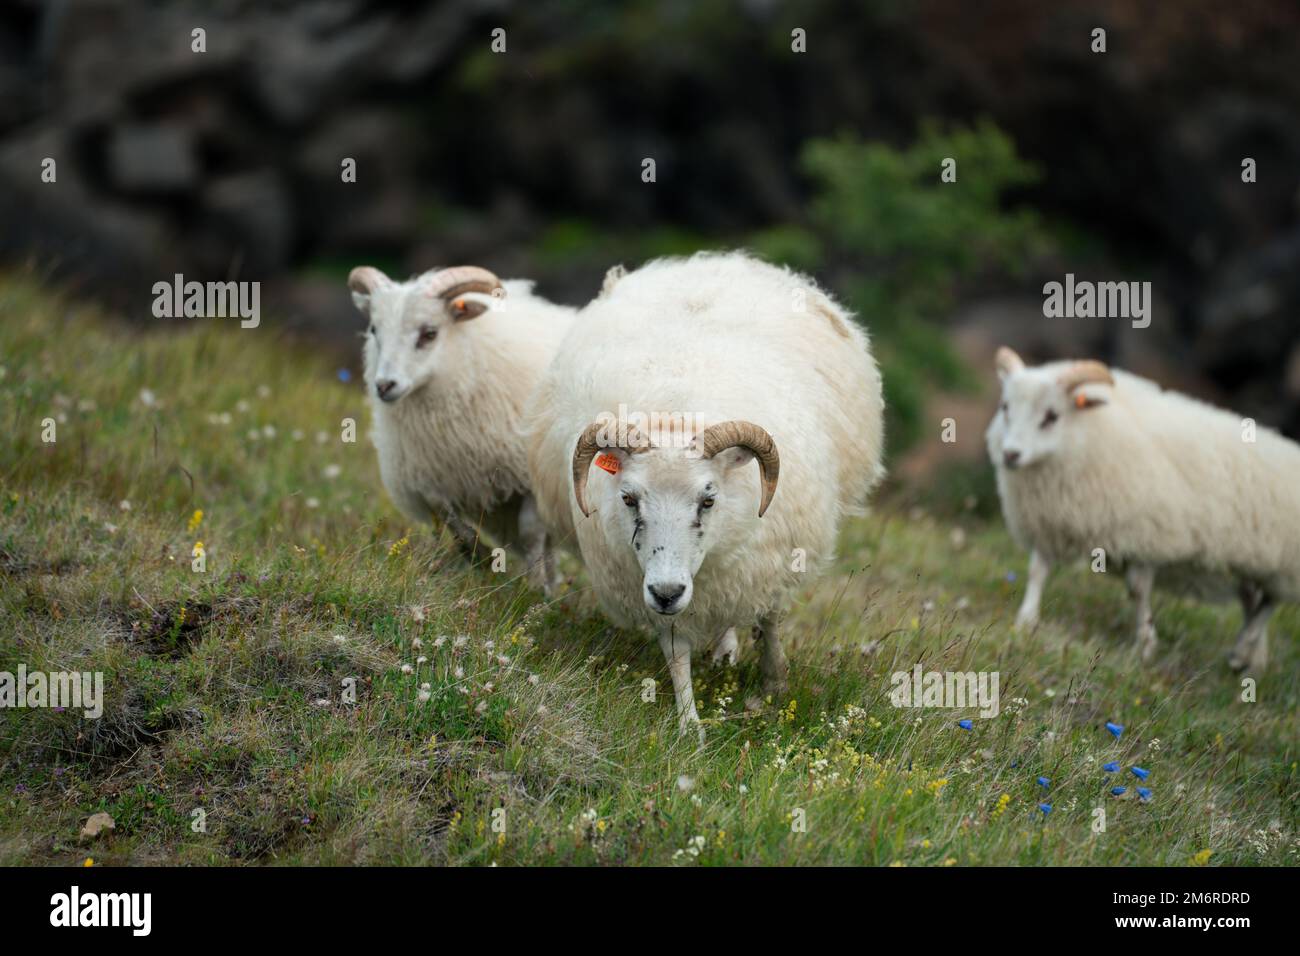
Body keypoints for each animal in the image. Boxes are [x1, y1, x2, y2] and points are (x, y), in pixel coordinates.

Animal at [345, 261, 574, 590]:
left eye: (429, 333)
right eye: (375, 330)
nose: (385, 386)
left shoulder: (528, 476)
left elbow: (531, 534)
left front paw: (532, 589)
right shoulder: (432, 475)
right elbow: (449, 519)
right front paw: (479, 555)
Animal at [982, 348, 1300, 671]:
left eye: (1052, 416)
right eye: (1005, 407)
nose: (1011, 454)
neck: (1090, 434)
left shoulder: (1147, 536)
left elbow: (1137, 591)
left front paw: (1145, 645)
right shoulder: (1048, 524)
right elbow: (1037, 571)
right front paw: (1026, 620)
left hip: (1285, 565)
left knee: (1270, 603)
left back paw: (1244, 648)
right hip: (1252, 565)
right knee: (1253, 601)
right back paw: (1251, 658)